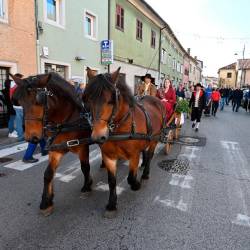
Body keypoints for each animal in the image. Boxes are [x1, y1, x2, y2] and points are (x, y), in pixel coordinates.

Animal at [10, 73, 94, 217]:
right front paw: (46, 202)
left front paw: (87, 186)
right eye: (20, 102)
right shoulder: (55, 150)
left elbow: (85, 167)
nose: (32, 138)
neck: (65, 121)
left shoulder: (83, 147)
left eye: (39, 100)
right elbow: (48, 174)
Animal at [84, 67, 166, 216]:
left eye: (112, 100)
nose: (98, 136)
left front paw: (136, 184)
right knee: (145, 153)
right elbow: (111, 181)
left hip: (155, 139)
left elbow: (131, 178)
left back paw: (145, 173)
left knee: (150, 155)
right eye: (88, 99)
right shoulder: (108, 156)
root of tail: (155, 100)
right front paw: (112, 204)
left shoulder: (133, 155)